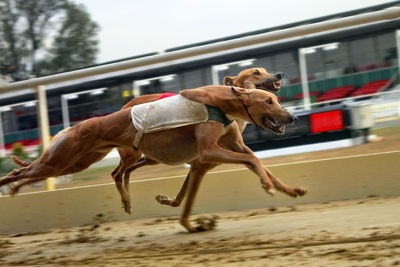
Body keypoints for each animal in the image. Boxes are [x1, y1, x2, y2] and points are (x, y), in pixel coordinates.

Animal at [1, 85, 306, 232]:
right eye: (268, 101)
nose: (293, 117)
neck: (222, 101)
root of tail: (69, 127)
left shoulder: (233, 148)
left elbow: (257, 161)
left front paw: (290, 189)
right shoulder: (207, 151)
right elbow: (254, 162)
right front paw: (267, 187)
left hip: (78, 160)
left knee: (114, 173)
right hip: (61, 159)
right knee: (22, 173)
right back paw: (11, 186)